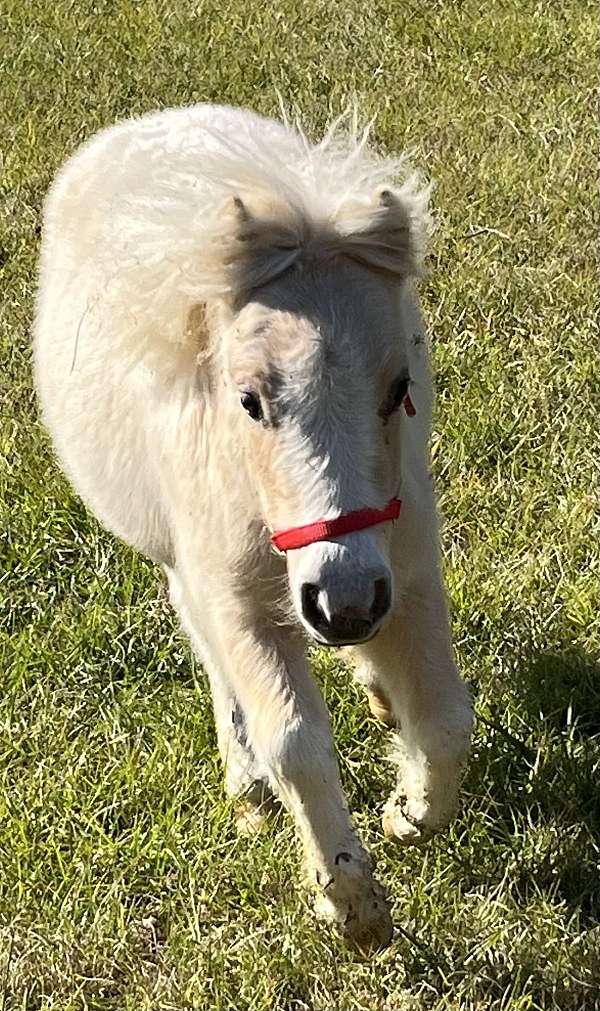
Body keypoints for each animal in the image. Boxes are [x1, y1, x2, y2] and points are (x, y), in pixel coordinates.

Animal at [33, 102, 473, 946]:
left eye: (400, 385)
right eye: (249, 399)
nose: (344, 605)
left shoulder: (407, 565)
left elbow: (444, 720)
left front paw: (407, 811)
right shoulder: (240, 597)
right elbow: (294, 738)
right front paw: (350, 901)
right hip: (181, 560)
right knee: (203, 641)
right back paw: (247, 784)